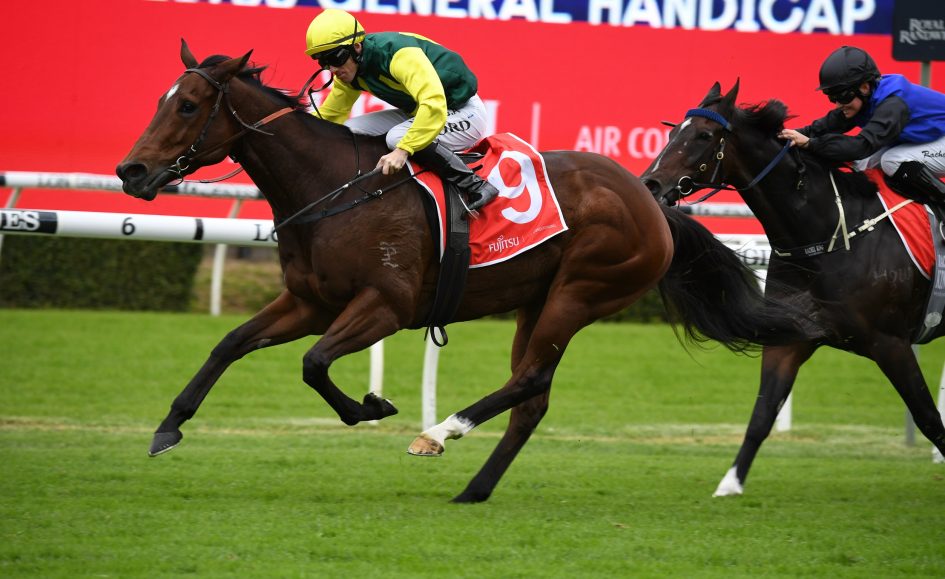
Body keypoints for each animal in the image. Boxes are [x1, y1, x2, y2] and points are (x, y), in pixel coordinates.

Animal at [116, 43, 808, 503]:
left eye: (189, 105)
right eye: (163, 100)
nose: (130, 172)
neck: (333, 187)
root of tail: (651, 200)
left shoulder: (385, 305)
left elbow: (313, 364)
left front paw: (372, 407)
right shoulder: (311, 301)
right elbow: (231, 342)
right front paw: (168, 426)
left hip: (582, 291)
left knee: (530, 379)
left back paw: (439, 433)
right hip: (537, 299)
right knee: (533, 397)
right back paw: (474, 488)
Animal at [641, 80, 945, 497]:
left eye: (703, 135)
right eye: (672, 134)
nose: (650, 184)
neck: (828, 237)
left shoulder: (891, 343)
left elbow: (929, 418)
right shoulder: (790, 337)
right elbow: (762, 413)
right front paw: (729, 485)